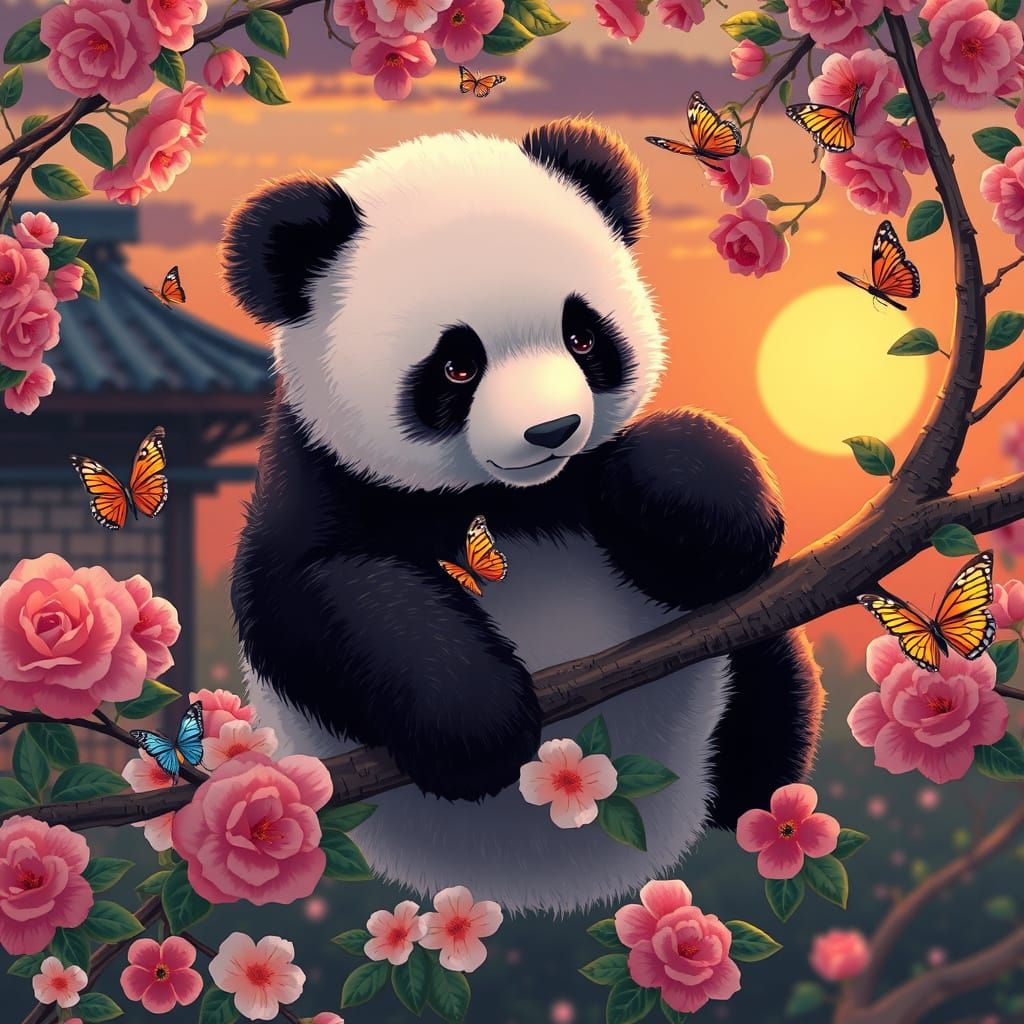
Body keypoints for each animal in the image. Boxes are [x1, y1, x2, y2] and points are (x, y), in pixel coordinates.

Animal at [222, 117, 824, 915]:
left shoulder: (579, 482)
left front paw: (696, 502)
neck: (510, 499)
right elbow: (313, 593)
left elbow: (696, 504)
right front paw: (473, 723)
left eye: (583, 337)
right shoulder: (319, 475)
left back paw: (759, 811)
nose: (553, 430)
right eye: (456, 367)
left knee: (769, 683)